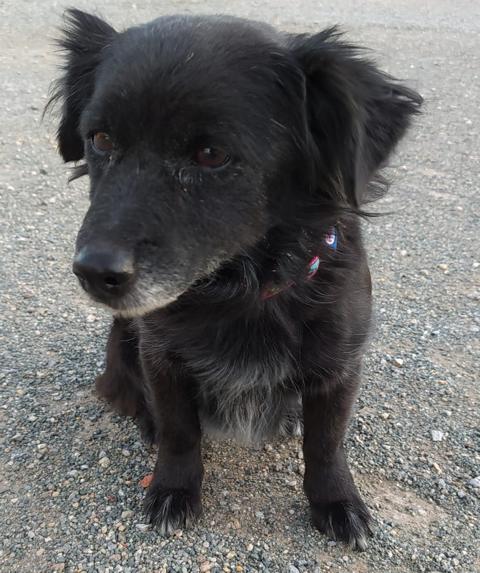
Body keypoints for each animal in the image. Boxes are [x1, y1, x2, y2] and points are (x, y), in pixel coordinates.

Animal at [49, 9, 421, 550]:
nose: (93, 272)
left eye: (210, 154)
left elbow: (327, 444)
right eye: (100, 140)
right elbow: (180, 431)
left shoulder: (339, 364)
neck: (242, 291)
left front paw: (337, 501)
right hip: (123, 340)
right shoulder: (161, 354)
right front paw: (174, 489)